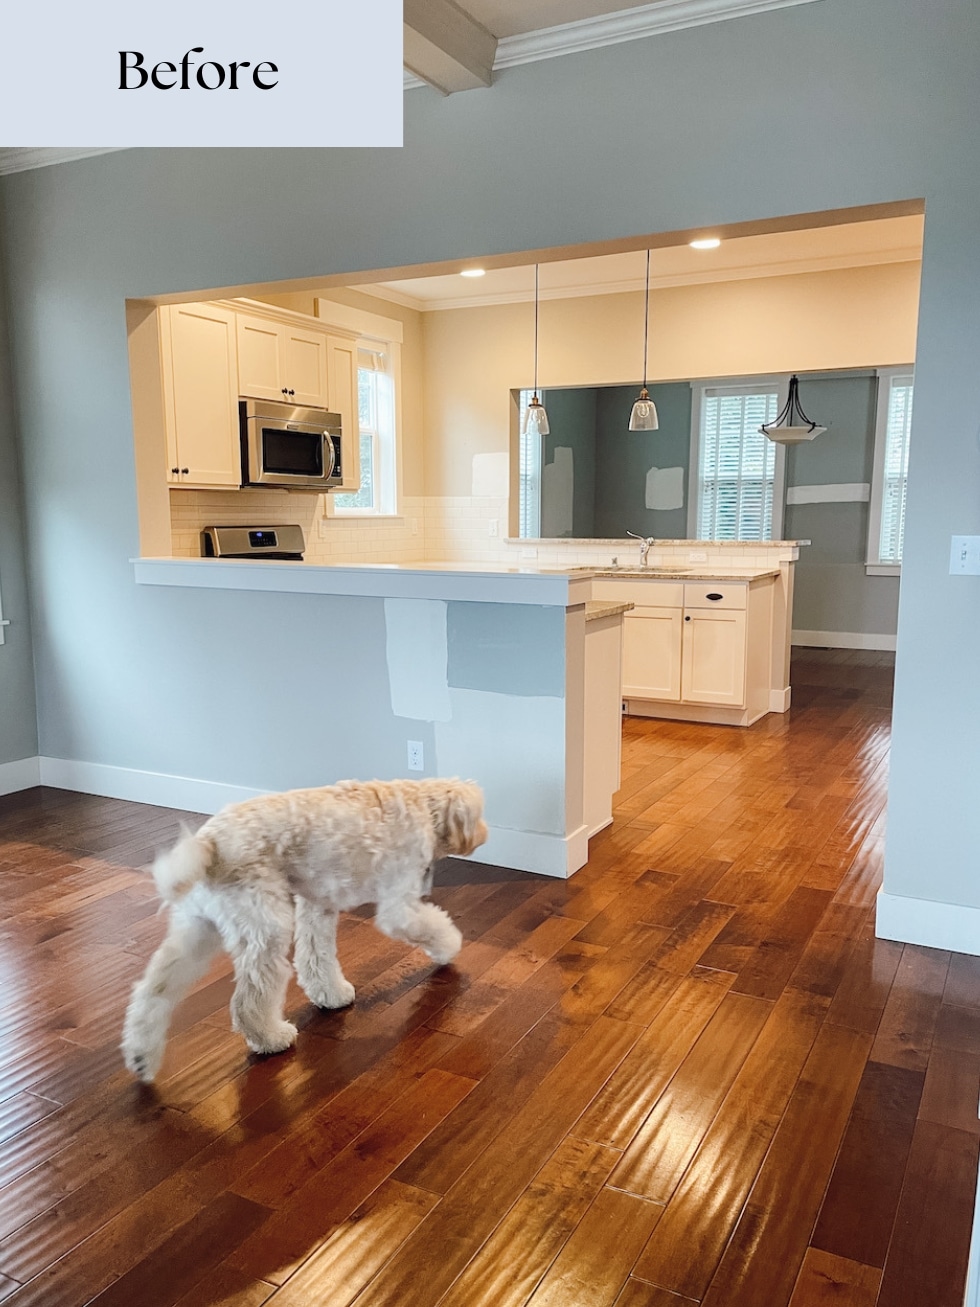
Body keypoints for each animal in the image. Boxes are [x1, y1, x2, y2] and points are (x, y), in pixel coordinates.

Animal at [122, 773, 488, 1082]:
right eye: (481, 814)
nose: (486, 833)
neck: (423, 804)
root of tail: (208, 843)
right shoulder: (399, 907)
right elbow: (433, 926)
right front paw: (449, 948)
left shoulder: (317, 904)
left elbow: (316, 957)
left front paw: (330, 994)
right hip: (265, 928)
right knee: (247, 1002)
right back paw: (271, 1038)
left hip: (197, 929)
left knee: (153, 991)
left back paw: (141, 1057)